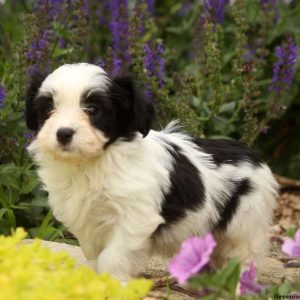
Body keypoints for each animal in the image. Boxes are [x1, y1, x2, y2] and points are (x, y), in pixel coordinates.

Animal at [25, 62, 278, 282]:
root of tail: (252, 155)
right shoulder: (86, 222)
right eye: (48, 108)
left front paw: (114, 283)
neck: (93, 162)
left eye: (93, 109)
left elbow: (113, 256)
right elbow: (94, 254)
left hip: (246, 223)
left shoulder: (135, 218)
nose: (63, 133)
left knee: (244, 259)